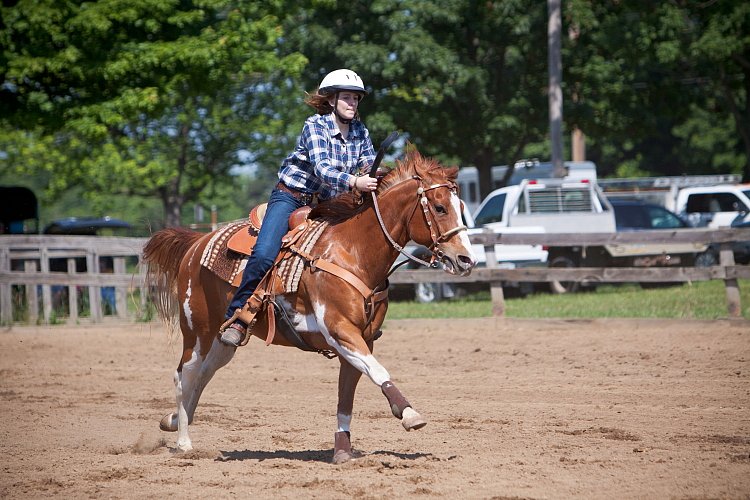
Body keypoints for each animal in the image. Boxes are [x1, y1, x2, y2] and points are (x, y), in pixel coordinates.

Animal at [144, 149, 478, 464]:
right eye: (439, 207)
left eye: (461, 208)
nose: (467, 260)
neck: (353, 252)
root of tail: (196, 243)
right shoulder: (340, 330)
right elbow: (378, 370)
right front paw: (409, 413)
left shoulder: (361, 339)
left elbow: (347, 395)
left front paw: (342, 450)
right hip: (196, 331)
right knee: (184, 375)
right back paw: (183, 442)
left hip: (222, 340)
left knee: (203, 375)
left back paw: (173, 421)